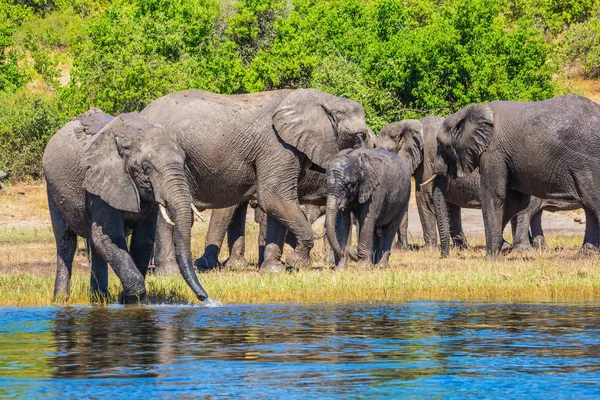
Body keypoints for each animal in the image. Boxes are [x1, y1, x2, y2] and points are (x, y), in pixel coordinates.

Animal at [42, 108, 209, 302]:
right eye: (146, 168)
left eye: (184, 164)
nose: (204, 298)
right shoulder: (102, 183)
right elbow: (109, 237)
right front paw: (139, 302)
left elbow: (142, 240)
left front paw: (128, 301)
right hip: (51, 188)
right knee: (66, 242)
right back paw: (61, 300)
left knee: (94, 244)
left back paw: (100, 298)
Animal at [142, 89, 370, 274]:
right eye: (359, 136)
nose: (347, 256)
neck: (323, 100)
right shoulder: (277, 146)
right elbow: (274, 198)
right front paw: (297, 262)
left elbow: (279, 205)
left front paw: (274, 270)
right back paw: (170, 272)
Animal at [380, 115, 580, 255]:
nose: (402, 248)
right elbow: (450, 207)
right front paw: (462, 249)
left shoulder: (428, 162)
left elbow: (425, 199)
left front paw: (429, 251)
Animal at [432, 95, 596, 255]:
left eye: (441, 144)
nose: (444, 256)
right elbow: (515, 201)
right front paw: (503, 248)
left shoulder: (493, 151)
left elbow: (494, 196)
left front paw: (492, 254)